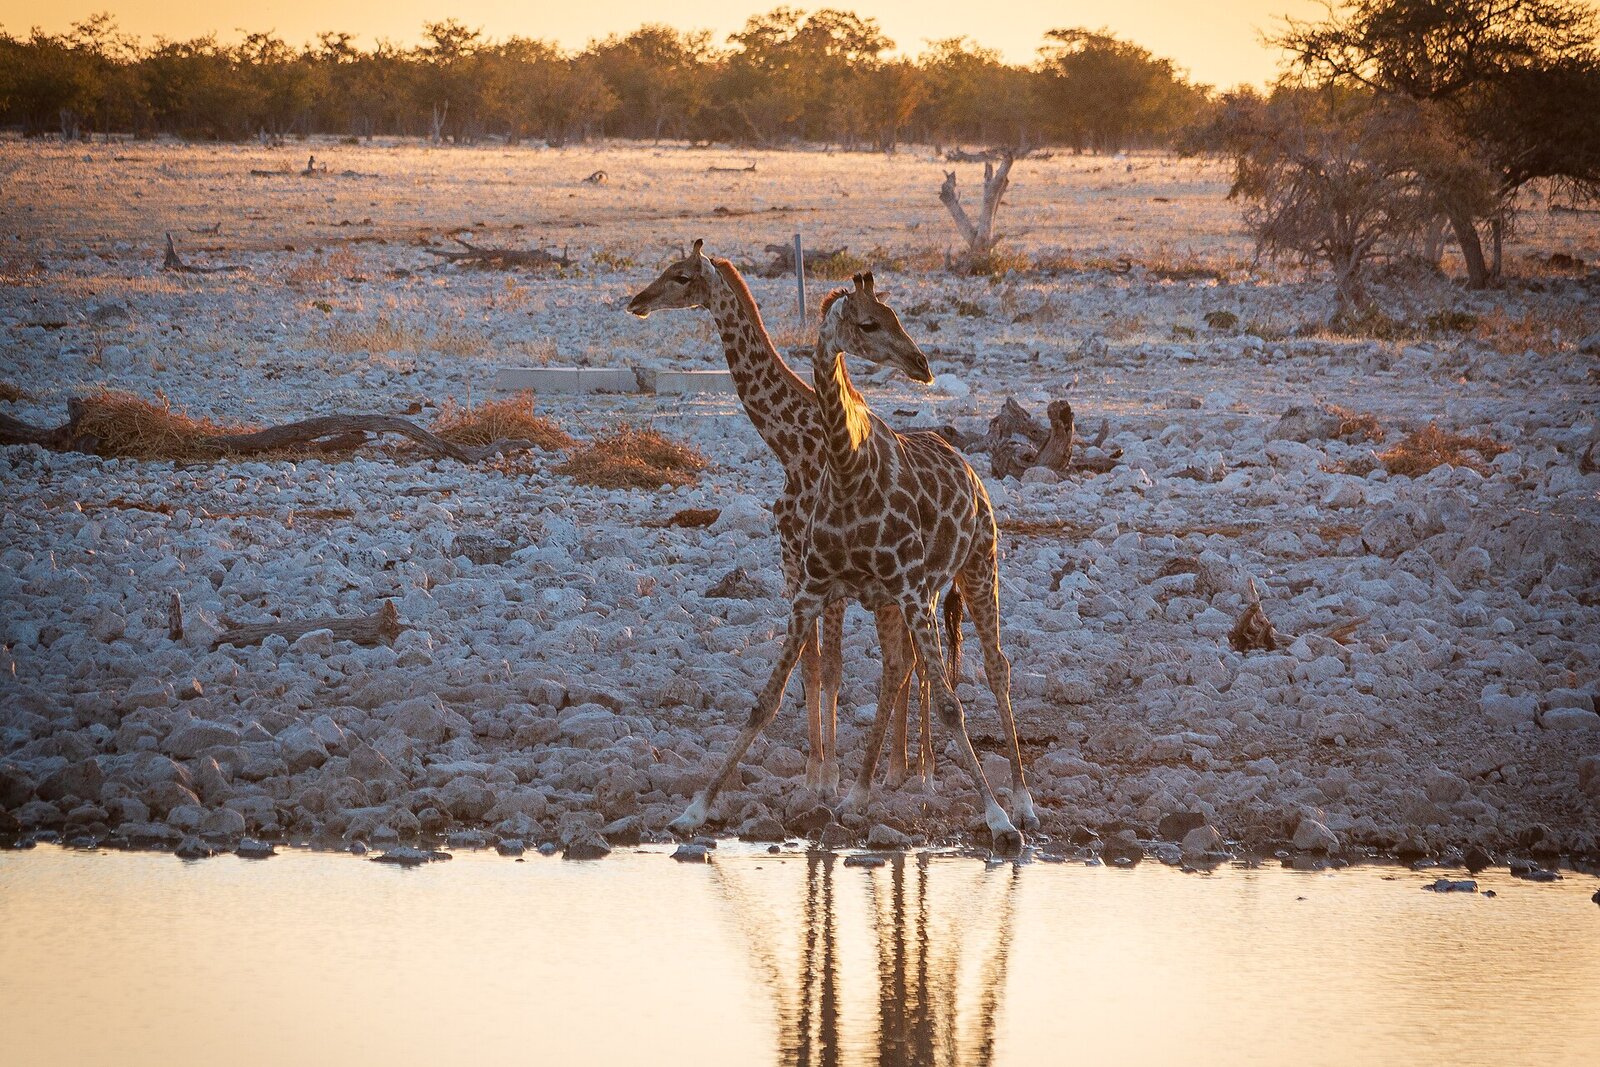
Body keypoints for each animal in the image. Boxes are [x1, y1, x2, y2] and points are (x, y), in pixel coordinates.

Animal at [626, 241, 935, 794]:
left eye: (681, 276)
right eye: (667, 270)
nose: (636, 302)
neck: (791, 446)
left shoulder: (826, 570)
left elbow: (831, 668)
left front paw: (829, 775)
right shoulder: (793, 563)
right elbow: (809, 667)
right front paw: (814, 771)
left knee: (915, 659)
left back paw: (914, 772)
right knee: (908, 658)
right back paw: (901, 769)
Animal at [667, 271, 1038, 853]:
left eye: (895, 316)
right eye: (868, 323)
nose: (921, 364)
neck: (843, 470)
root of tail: (973, 473)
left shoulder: (902, 586)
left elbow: (950, 704)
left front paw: (997, 818)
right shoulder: (814, 586)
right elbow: (769, 697)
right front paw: (694, 809)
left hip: (977, 568)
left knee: (994, 667)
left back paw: (1019, 802)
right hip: (911, 595)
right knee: (898, 668)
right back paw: (866, 792)